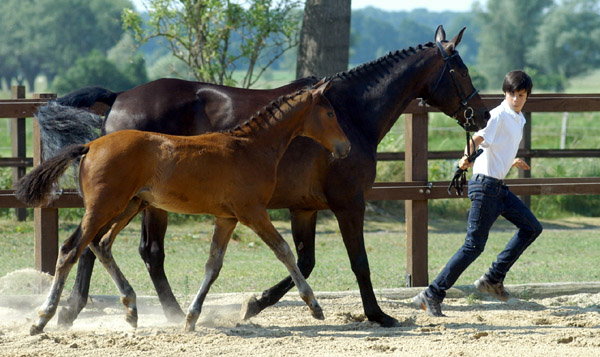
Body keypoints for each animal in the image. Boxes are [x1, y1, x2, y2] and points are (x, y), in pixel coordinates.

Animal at [16, 81, 350, 334]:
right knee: (71, 250)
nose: (345, 147)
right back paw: (43, 319)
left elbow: (213, 265)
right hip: (104, 207)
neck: (251, 147)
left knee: (101, 244)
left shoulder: (227, 218)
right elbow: (284, 251)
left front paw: (191, 318)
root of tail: (89, 146)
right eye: (330, 112)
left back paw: (131, 309)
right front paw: (314, 306)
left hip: (129, 205)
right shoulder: (252, 212)